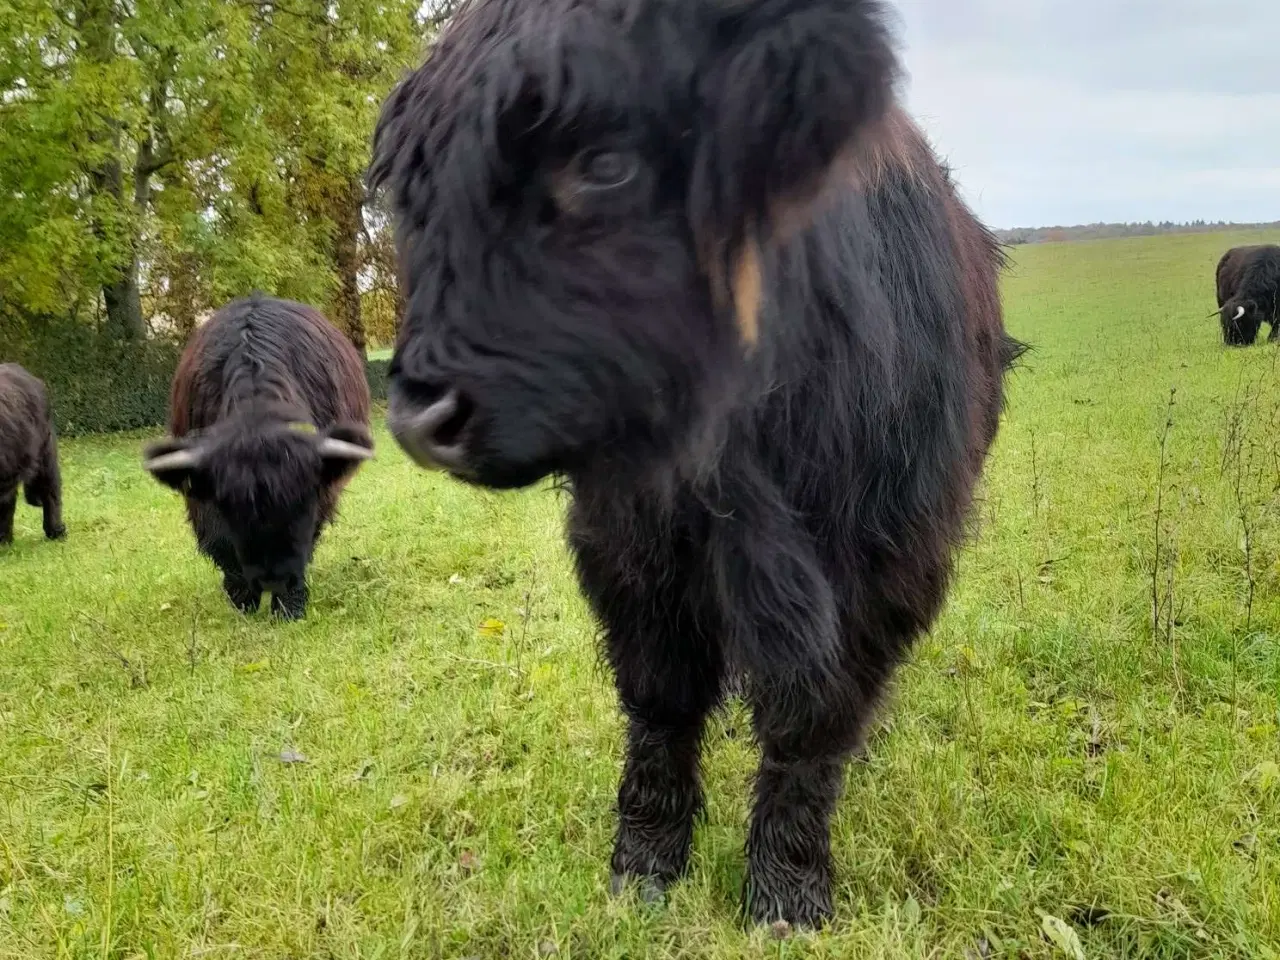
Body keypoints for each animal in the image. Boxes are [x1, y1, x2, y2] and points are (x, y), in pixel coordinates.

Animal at [146, 296, 373, 619]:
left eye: (303, 504)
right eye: (230, 508)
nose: (273, 580)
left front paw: (289, 606)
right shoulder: (201, 498)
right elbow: (220, 543)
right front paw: (243, 599)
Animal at [368, 0, 1018, 931]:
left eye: (605, 163)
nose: (420, 417)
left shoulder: (886, 560)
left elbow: (812, 723)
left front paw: (786, 893)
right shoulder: (631, 553)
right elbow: (662, 704)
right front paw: (642, 869)